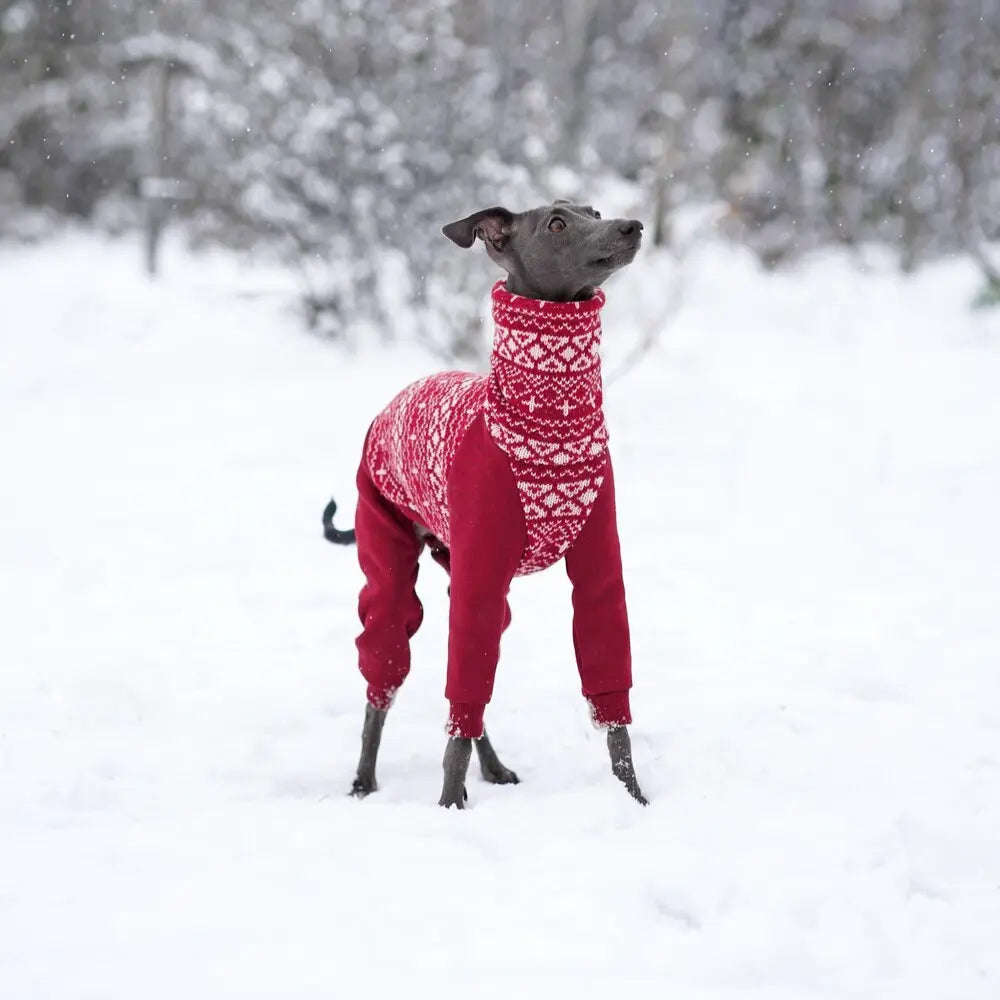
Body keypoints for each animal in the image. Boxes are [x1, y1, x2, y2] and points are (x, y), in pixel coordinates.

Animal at [322, 199, 648, 808]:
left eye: (593, 209)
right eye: (557, 223)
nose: (632, 225)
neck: (548, 429)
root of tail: (389, 406)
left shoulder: (597, 570)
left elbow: (611, 702)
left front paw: (634, 799)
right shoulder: (479, 574)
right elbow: (458, 708)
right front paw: (448, 806)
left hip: (475, 585)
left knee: (470, 695)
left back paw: (492, 768)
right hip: (393, 569)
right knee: (383, 678)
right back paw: (364, 780)